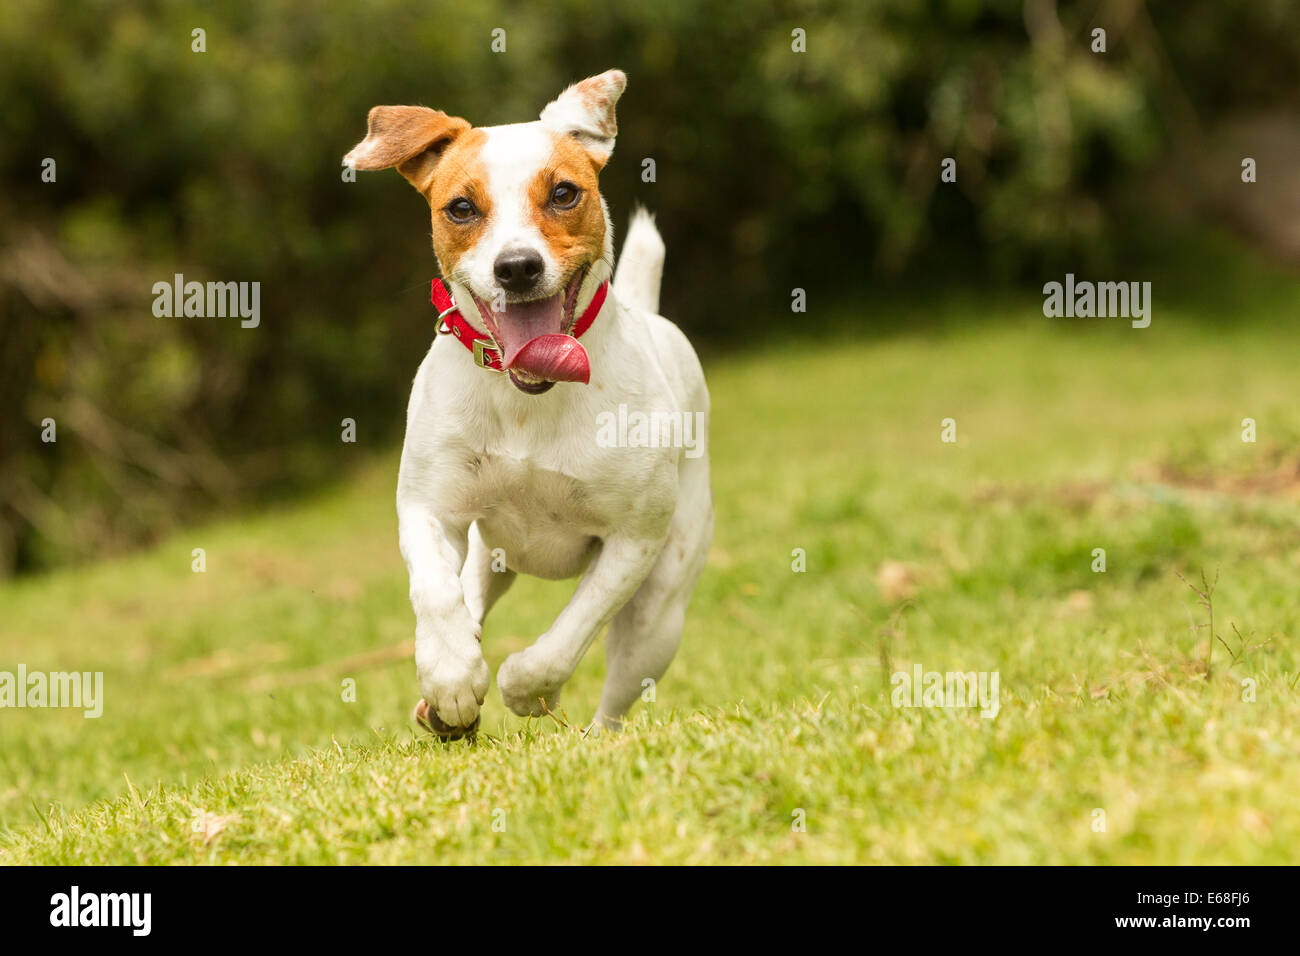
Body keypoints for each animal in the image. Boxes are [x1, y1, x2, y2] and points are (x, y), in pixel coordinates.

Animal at [345, 69, 712, 738]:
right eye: (461, 208)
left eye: (565, 193)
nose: (516, 267)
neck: (528, 402)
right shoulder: (428, 507)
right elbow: (435, 593)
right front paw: (451, 676)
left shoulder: (633, 542)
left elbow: (568, 635)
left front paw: (527, 687)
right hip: (489, 554)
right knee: (469, 593)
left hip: (660, 613)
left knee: (617, 693)